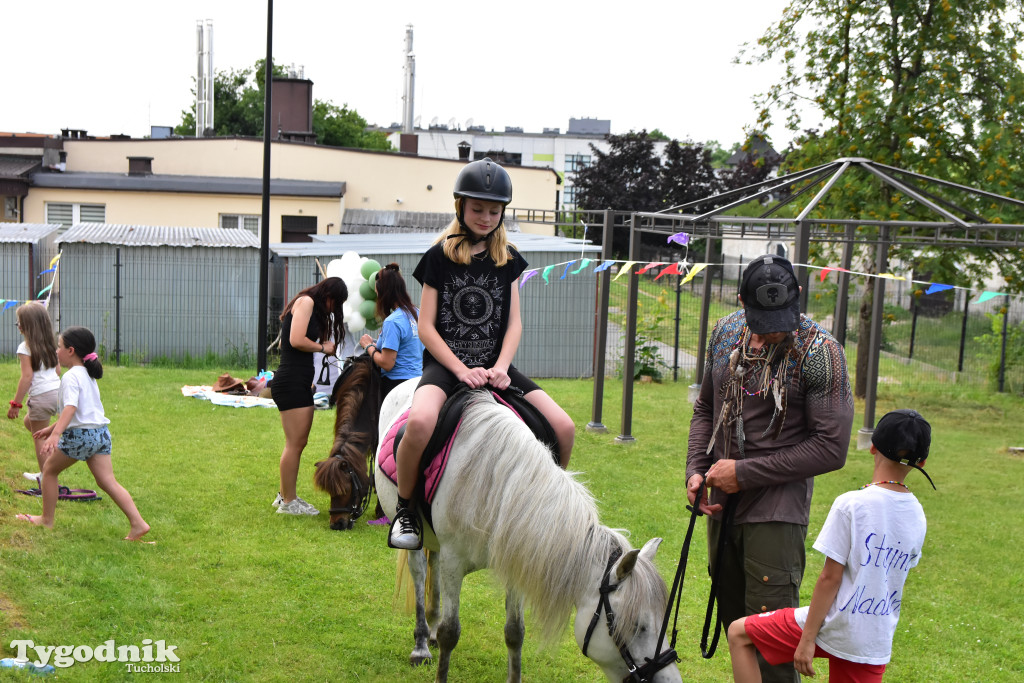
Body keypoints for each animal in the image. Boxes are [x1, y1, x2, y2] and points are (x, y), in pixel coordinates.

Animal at [374, 378, 679, 683]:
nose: (671, 680)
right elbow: (452, 633)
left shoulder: (517, 558)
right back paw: (421, 645)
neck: (496, 483)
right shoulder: (454, 562)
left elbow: (514, 632)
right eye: (637, 626)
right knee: (419, 572)